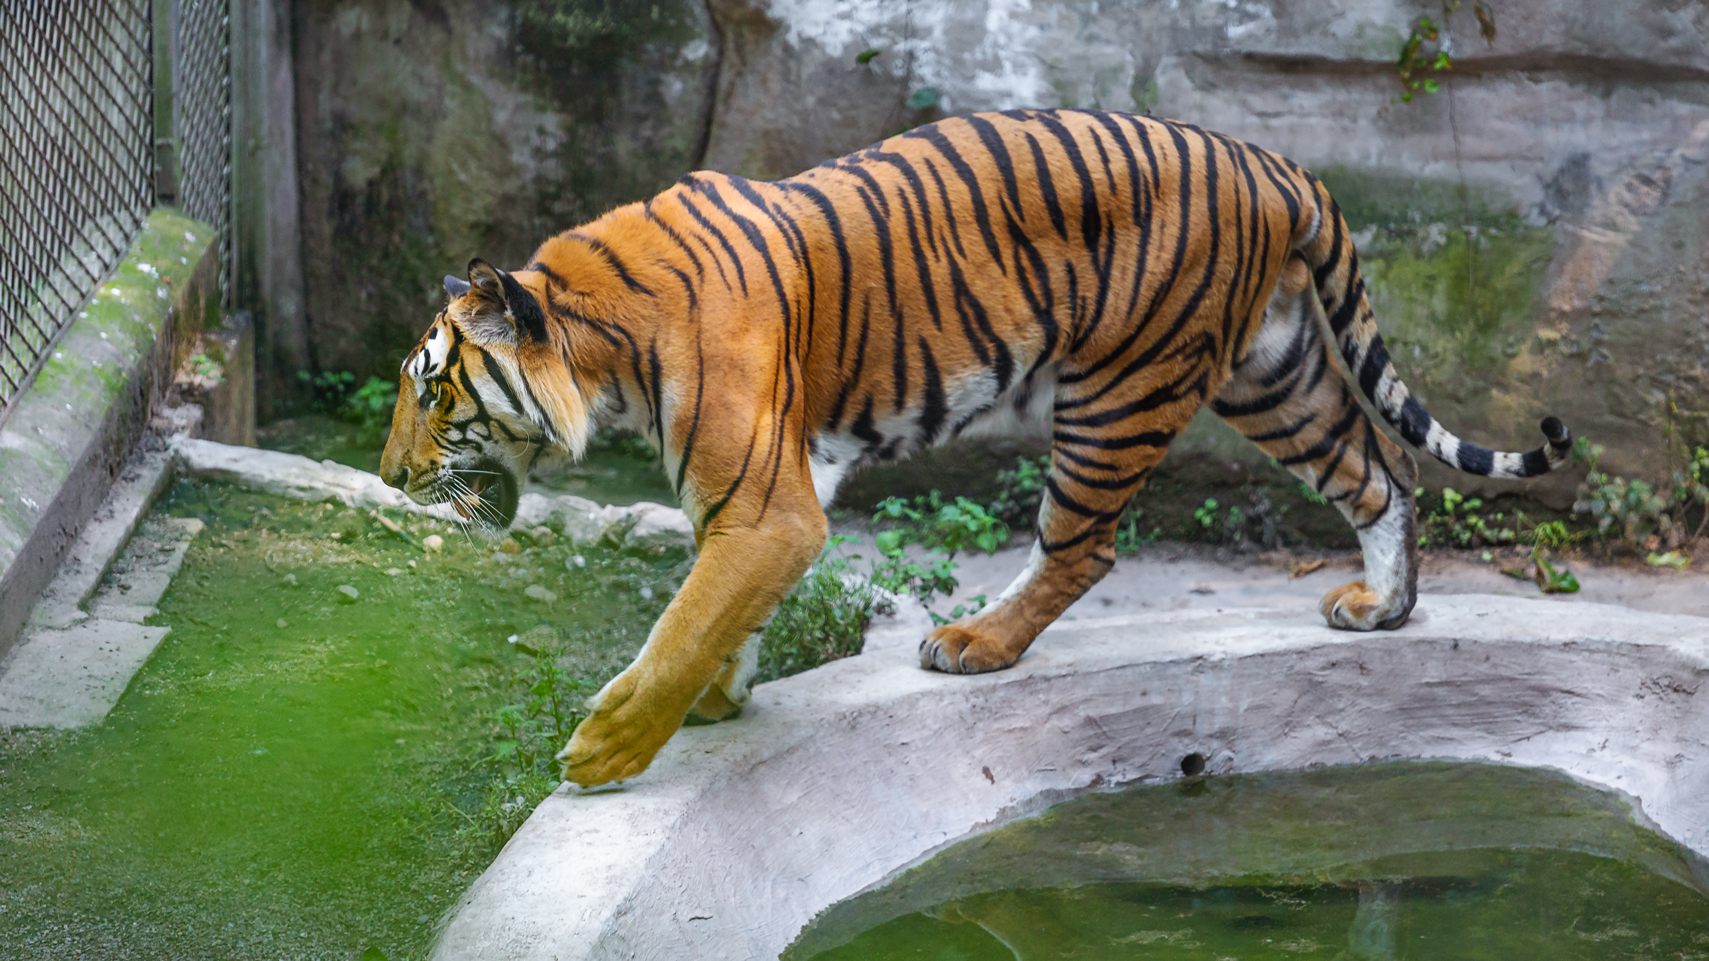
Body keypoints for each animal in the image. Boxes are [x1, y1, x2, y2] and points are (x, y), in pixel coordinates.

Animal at [379, 109, 1572, 788]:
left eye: (435, 392)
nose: (390, 475)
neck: (600, 343)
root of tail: (1276, 163)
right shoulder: (775, 491)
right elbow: (717, 611)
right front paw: (717, 697)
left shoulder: (767, 505)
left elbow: (682, 620)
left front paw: (610, 746)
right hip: (1267, 371)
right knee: (1380, 470)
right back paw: (1383, 608)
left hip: (1118, 387)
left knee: (1081, 547)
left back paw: (974, 642)